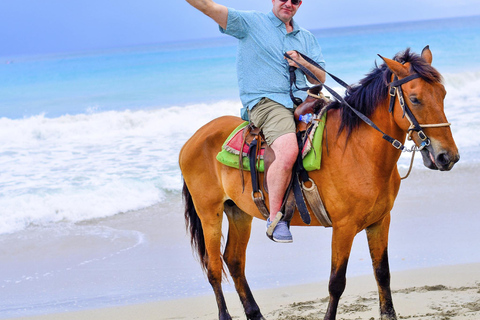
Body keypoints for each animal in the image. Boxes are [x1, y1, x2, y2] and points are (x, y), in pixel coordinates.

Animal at [179, 47, 458, 320]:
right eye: (415, 99)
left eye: (443, 94)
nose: (447, 157)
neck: (358, 150)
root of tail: (193, 139)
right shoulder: (344, 227)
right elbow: (336, 283)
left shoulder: (380, 221)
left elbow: (382, 273)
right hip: (210, 213)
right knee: (214, 267)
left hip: (238, 212)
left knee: (234, 261)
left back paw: (255, 313)